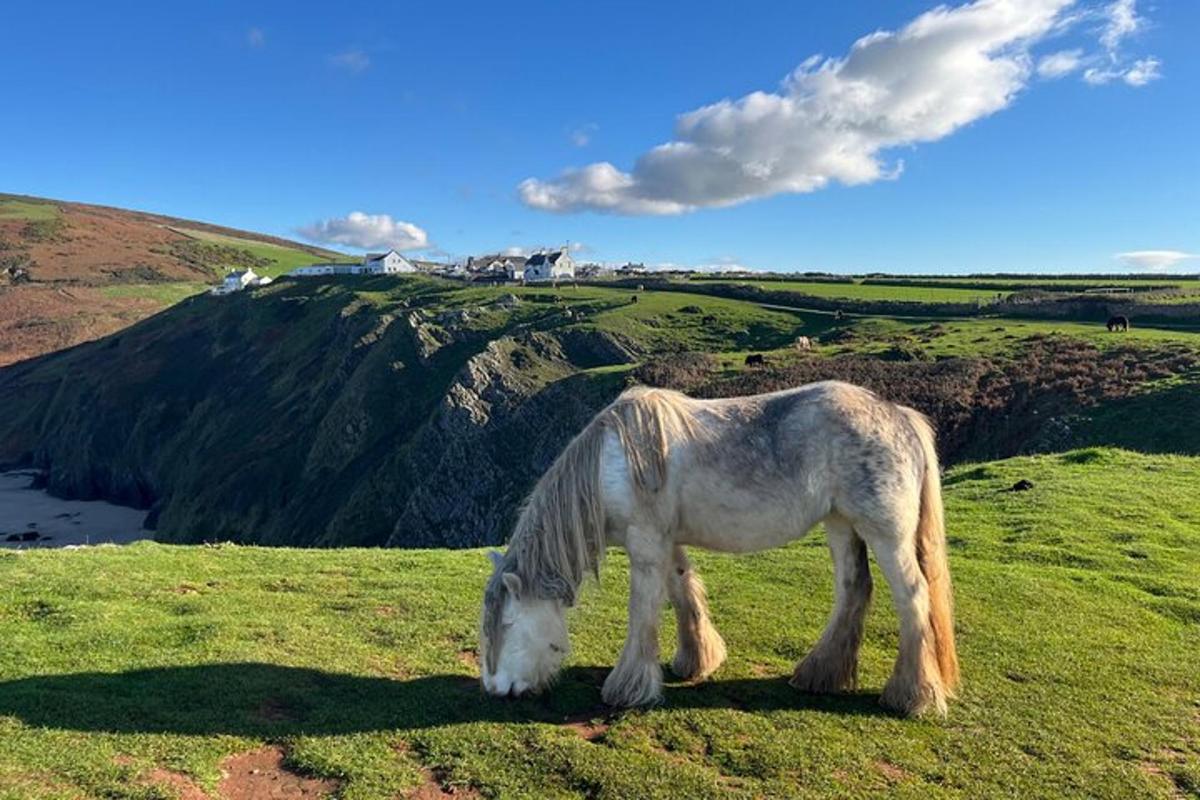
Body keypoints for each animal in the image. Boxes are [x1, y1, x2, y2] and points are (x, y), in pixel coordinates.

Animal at [477, 383, 955, 719]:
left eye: (508, 623)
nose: (495, 690)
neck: (612, 464)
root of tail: (900, 415)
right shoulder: (667, 540)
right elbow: (682, 593)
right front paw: (695, 661)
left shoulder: (646, 542)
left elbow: (643, 610)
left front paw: (628, 687)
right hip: (840, 524)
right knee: (854, 588)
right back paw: (820, 674)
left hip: (886, 534)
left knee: (913, 597)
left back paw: (912, 696)